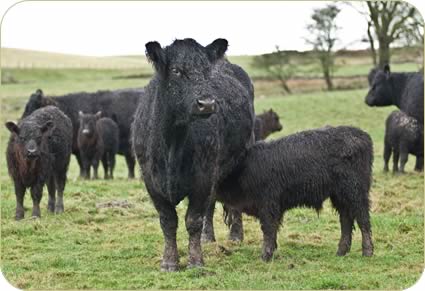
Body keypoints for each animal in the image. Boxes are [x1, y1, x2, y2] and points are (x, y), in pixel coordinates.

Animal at [131, 38, 253, 272]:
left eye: (206, 71)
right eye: (176, 71)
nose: (207, 104)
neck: (173, 144)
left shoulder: (202, 178)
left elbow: (193, 219)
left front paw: (196, 261)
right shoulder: (151, 180)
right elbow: (168, 220)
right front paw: (169, 262)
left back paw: (235, 236)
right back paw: (208, 237)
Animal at [217, 126, 372, 262]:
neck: (244, 168)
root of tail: (362, 135)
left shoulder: (268, 206)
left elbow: (268, 230)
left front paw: (265, 256)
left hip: (356, 193)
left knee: (363, 220)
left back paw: (367, 252)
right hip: (340, 196)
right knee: (346, 220)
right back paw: (341, 252)